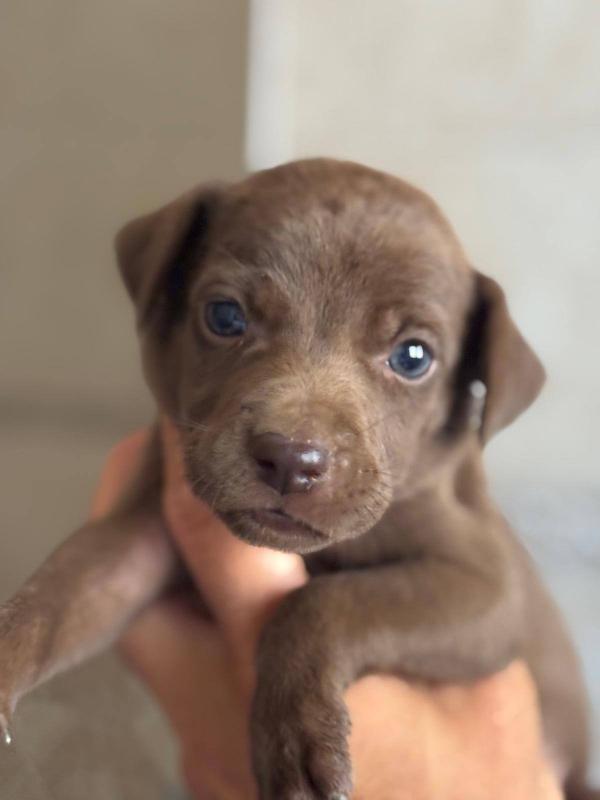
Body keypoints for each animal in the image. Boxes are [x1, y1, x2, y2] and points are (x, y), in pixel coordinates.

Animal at [0, 158, 596, 799]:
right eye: (225, 316)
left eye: (413, 357)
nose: (290, 459)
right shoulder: (137, 533)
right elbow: (59, 591)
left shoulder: (487, 588)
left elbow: (325, 602)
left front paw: (298, 739)